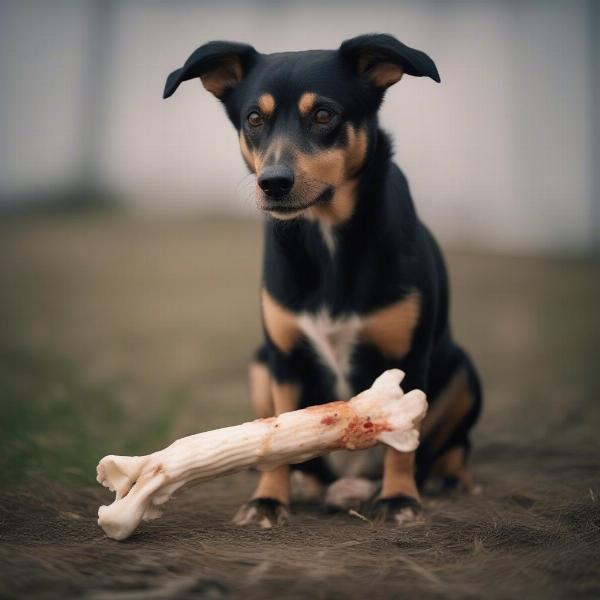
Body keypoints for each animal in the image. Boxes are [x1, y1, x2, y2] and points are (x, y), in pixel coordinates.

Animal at [164, 35, 482, 528]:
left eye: (324, 115)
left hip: (465, 372)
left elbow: (402, 447)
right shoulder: (285, 359)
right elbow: (276, 439)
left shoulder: (408, 358)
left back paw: (452, 478)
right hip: (259, 364)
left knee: (452, 446)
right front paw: (268, 500)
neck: (326, 235)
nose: (273, 182)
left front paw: (399, 498)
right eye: (254, 118)